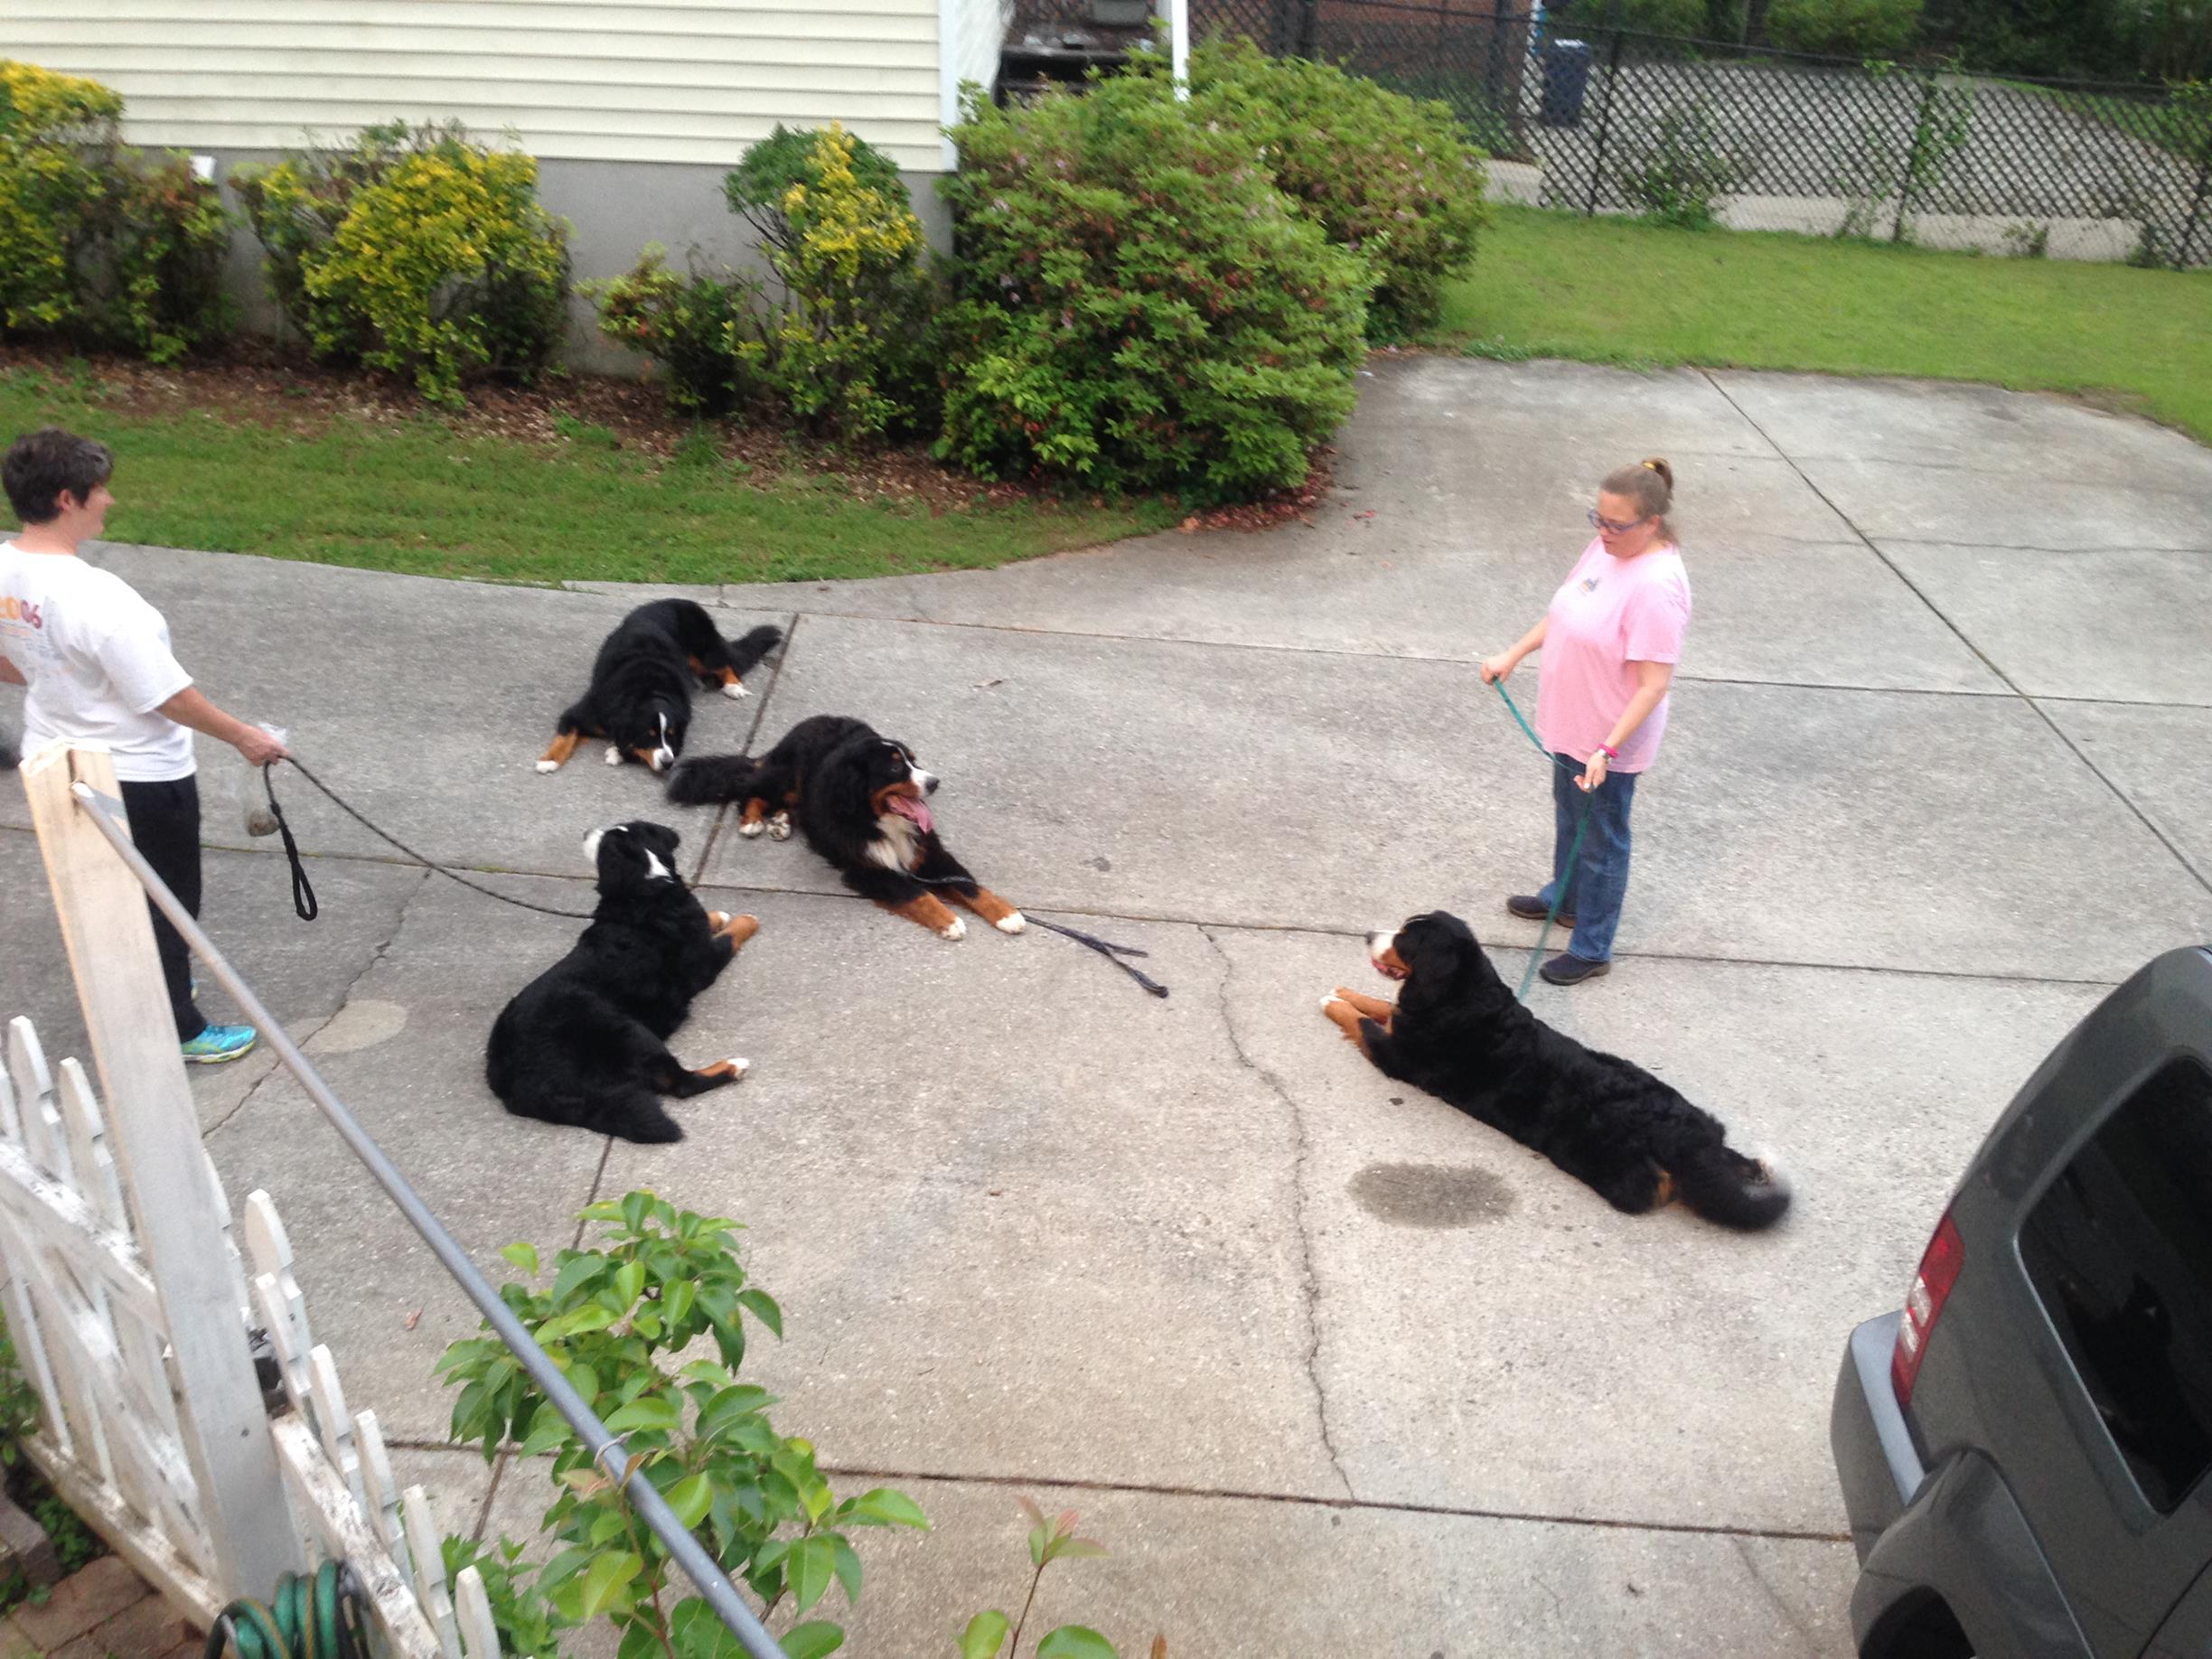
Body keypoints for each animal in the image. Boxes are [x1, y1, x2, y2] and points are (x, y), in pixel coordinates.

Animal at [484, 818, 761, 1141]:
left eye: (605, 839)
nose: (586, 831)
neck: (647, 888)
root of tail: (519, 1083)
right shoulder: (704, 962)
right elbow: (730, 937)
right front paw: (746, 920)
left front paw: (718, 915)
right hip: (629, 1030)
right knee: (680, 1083)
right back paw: (733, 1066)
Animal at [532, 601, 778, 778]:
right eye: (648, 734)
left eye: (670, 735)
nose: (669, 763)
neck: (648, 688)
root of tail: (679, 600)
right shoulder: (582, 712)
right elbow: (565, 736)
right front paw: (549, 760)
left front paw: (616, 751)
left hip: (704, 650)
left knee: (725, 664)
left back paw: (733, 686)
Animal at [663, 717, 1026, 946]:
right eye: (895, 766)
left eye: (914, 761)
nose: (934, 782)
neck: (878, 821)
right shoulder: (866, 869)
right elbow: (916, 893)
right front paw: (950, 921)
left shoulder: (928, 852)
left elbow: (968, 886)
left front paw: (1007, 913)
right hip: (786, 776)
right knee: (750, 788)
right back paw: (752, 821)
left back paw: (780, 822)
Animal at [1318, 915, 1786, 1230]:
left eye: (1404, 939)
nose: (1367, 935)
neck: (1461, 995)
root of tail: (1681, 1137)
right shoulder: (1404, 1020)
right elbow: (1380, 1006)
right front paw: (1346, 991)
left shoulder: (1395, 1054)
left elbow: (1362, 1022)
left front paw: (1332, 1000)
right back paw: (1753, 1164)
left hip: (1605, 1161)